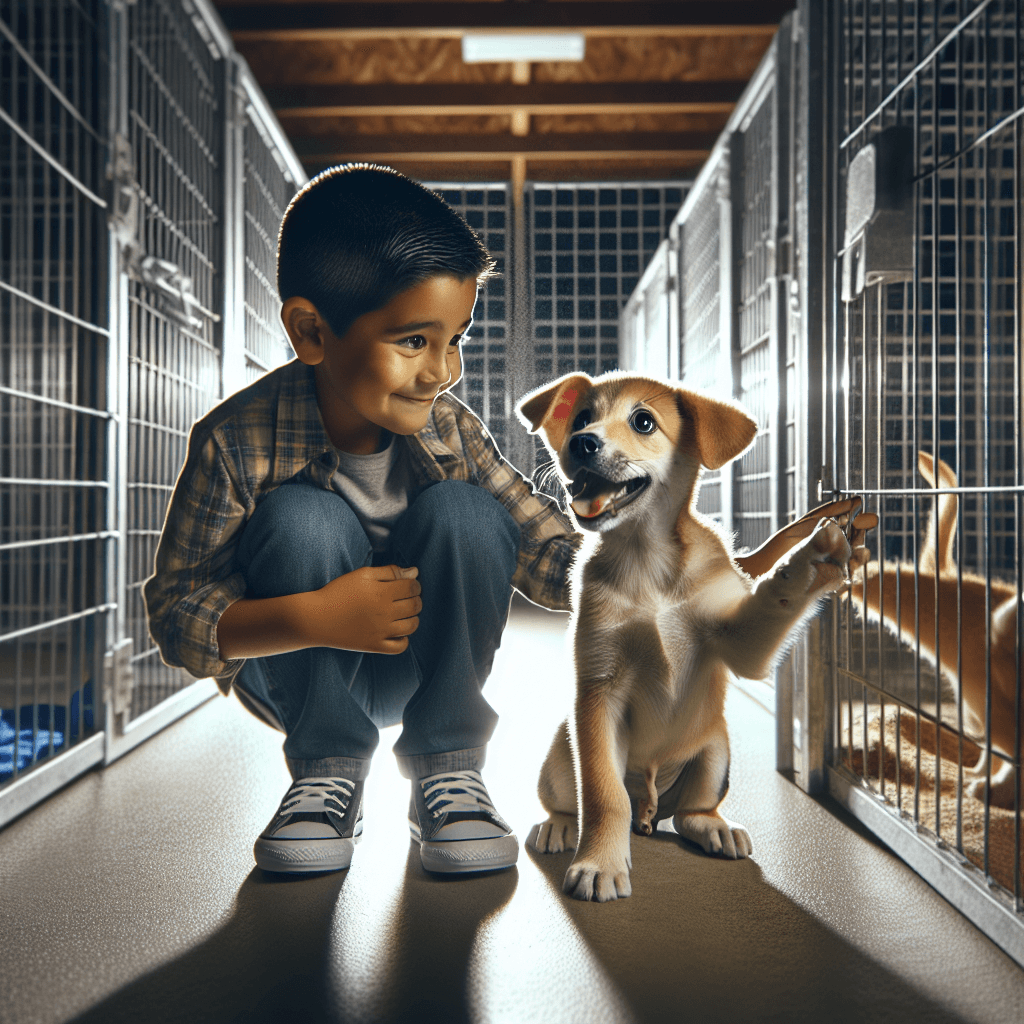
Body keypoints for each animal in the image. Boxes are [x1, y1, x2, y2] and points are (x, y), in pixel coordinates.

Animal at [520, 372, 856, 901]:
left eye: (643, 421)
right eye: (581, 418)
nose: (581, 443)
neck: (647, 562)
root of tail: (651, 805)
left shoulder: (740, 643)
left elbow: (774, 600)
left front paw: (811, 557)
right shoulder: (597, 692)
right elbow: (603, 795)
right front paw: (600, 864)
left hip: (715, 749)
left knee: (693, 811)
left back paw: (714, 827)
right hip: (561, 747)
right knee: (575, 800)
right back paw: (559, 825)